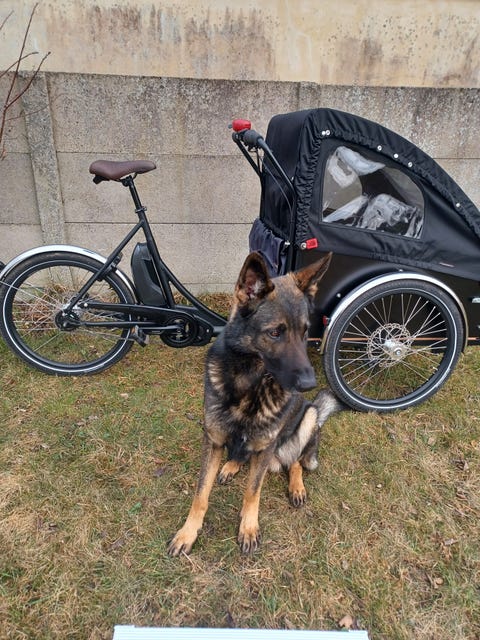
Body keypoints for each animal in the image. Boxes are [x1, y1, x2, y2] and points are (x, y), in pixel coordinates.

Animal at [167, 251, 342, 556]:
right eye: (275, 333)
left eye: (305, 332)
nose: (309, 384)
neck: (250, 385)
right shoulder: (213, 441)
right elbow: (201, 494)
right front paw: (188, 532)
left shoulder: (265, 445)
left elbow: (253, 492)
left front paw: (248, 528)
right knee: (243, 454)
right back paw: (231, 466)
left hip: (307, 417)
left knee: (296, 461)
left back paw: (296, 486)